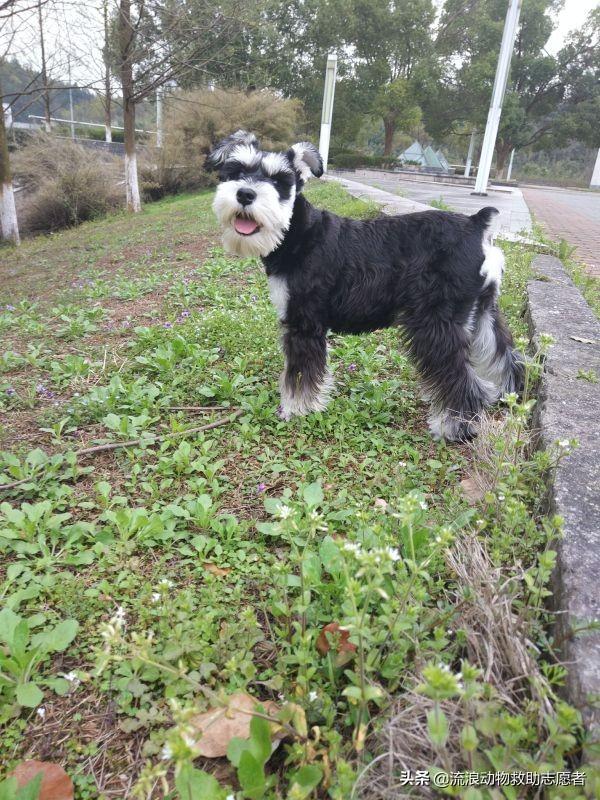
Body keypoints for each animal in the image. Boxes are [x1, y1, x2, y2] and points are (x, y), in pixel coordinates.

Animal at [205, 129, 520, 440]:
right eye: (236, 171)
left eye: (278, 180)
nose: (245, 194)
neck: (297, 233)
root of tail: (477, 225)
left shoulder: (304, 323)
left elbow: (299, 374)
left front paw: (296, 410)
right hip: (482, 311)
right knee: (504, 355)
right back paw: (509, 395)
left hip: (436, 322)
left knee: (459, 376)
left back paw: (455, 426)